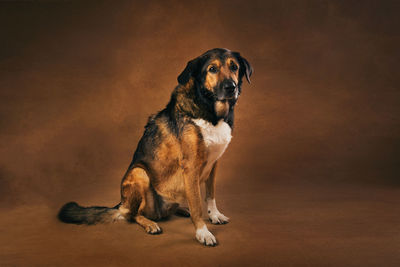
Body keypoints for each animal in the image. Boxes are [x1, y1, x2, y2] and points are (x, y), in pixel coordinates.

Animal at [58, 47, 253, 247]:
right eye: (212, 69)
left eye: (234, 67)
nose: (231, 87)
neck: (211, 113)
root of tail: (121, 205)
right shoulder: (191, 167)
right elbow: (197, 205)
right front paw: (202, 232)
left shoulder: (214, 164)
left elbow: (210, 195)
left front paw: (214, 215)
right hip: (139, 174)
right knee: (134, 215)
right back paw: (150, 224)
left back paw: (181, 210)